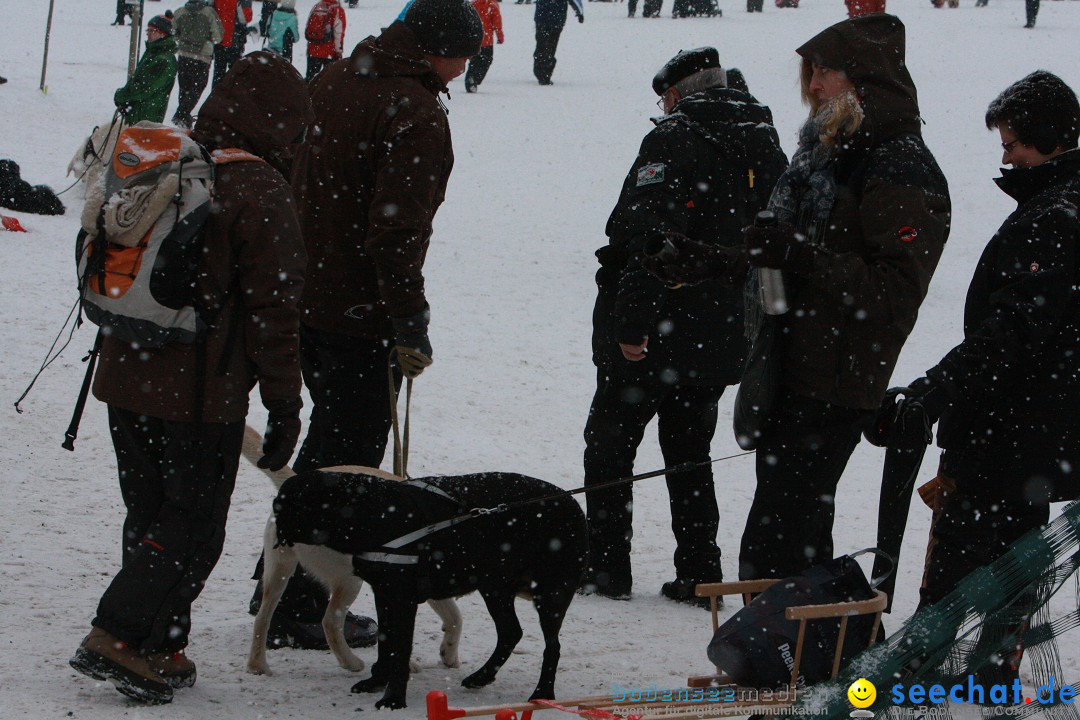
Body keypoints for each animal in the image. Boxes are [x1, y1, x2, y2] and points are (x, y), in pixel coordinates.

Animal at [270, 470, 591, 712]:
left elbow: (399, 650)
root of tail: (573, 504)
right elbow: (386, 644)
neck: (374, 512)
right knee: (511, 632)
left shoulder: (402, 597)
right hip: (494, 587)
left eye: (289, 504)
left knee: (552, 646)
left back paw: (543, 692)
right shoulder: (384, 593)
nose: (274, 524)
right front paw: (376, 682)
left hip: (551, 594)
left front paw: (393, 699)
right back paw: (481, 677)